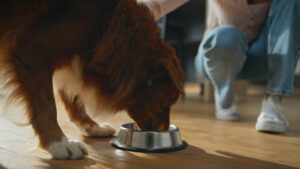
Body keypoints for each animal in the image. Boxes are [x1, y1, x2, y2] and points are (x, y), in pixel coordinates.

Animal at [0, 0, 183, 160]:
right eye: (167, 99)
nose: (163, 130)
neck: (105, 24)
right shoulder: (32, 51)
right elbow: (47, 107)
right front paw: (59, 143)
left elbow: (74, 99)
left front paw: (92, 126)